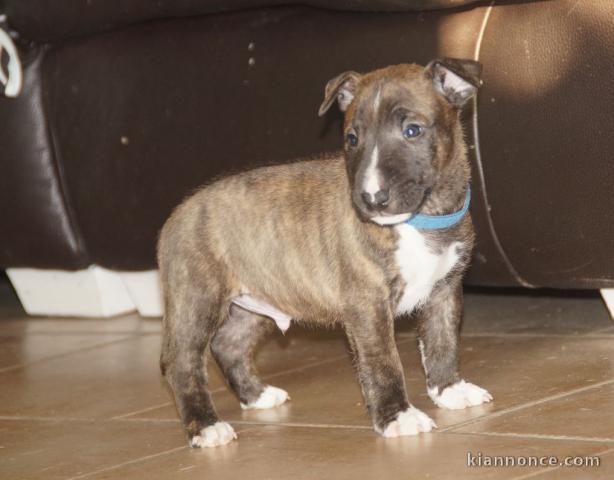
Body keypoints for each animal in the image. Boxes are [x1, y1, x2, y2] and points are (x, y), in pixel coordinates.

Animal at [160, 58, 496, 448]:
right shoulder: (366, 303)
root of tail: (177, 214)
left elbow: (442, 341)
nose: (371, 199)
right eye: (352, 138)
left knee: (229, 344)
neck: (422, 220)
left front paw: (450, 390)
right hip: (197, 298)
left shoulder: (445, 289)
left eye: (412, 130)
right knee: (182, 362)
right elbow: (382, 361)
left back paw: (258, 396)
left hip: (255, 300)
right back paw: (206, 426)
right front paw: (397, 416)